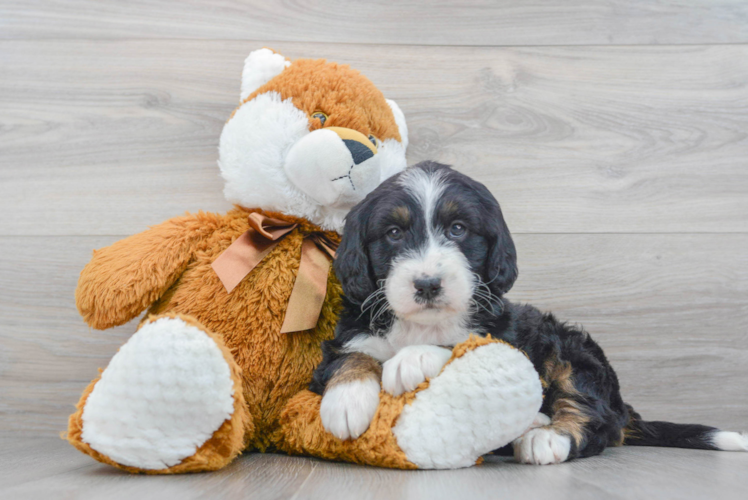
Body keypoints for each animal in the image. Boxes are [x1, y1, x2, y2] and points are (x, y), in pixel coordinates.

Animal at [308, 160, 744, 464]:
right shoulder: (347, 335)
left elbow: (462, 344)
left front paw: (411, 359)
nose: (428, 284)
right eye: (394, 233)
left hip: (572, 349)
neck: (422, 325)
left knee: (594, 417)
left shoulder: (506, 336)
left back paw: (544, 435)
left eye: (458, 229)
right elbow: (351, 356)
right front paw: (345, 401)